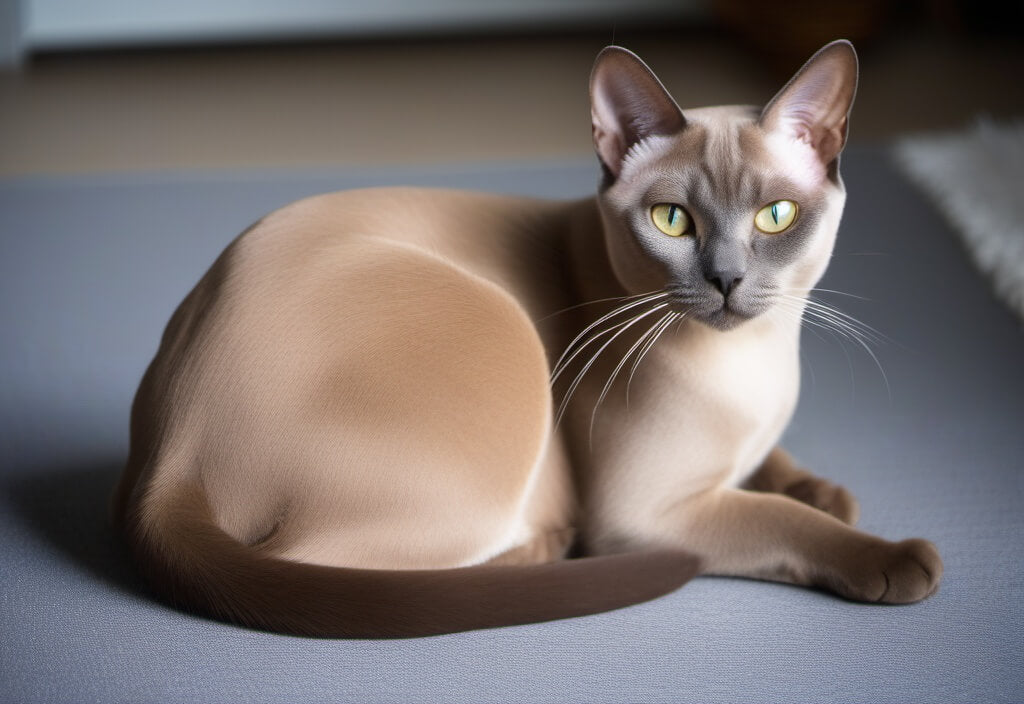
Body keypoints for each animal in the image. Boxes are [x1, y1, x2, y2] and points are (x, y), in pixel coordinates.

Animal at [112, 41, 942, 642]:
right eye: (673, 221)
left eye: (775, 217)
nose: (729, 280)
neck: (758, 360)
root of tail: (169, 459)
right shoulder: (645, 517)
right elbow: (786, 521)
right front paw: (894, 557)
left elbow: (784, 473)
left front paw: (827, 491)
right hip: (503, 336)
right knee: (333, 571)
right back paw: (541, 550)